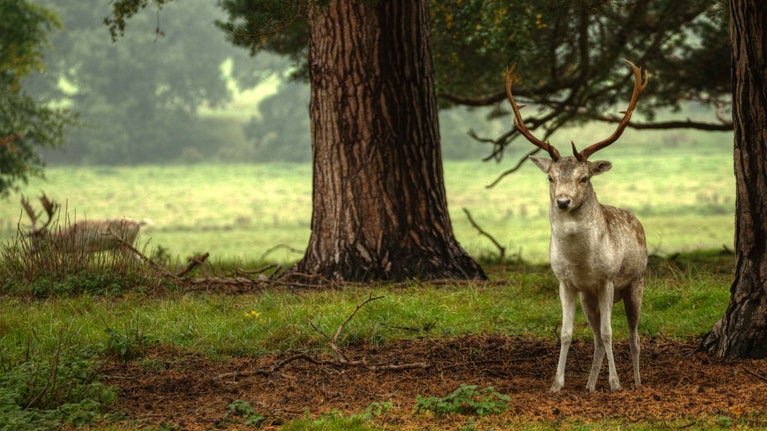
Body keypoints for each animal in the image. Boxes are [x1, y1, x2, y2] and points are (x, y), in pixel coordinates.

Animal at [21, 194, 150, 258]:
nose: (29, 252)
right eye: (31, 239)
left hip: (125, 244)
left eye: (39, 239)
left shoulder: (83, 248)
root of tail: (139, 223)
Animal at [505, 60, 649, 392]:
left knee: (633, 335)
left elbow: (610, 333)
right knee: (595, 338)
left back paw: (635, 381)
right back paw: (589, 385)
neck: (582, 262)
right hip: (588, 297)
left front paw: (616, 383)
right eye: (550, 177)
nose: (563, 201)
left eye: (584, 177)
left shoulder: (607, 280)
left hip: (636, 282)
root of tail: (637, 221)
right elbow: (566, 333)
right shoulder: (566, 283)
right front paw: (556, 383)